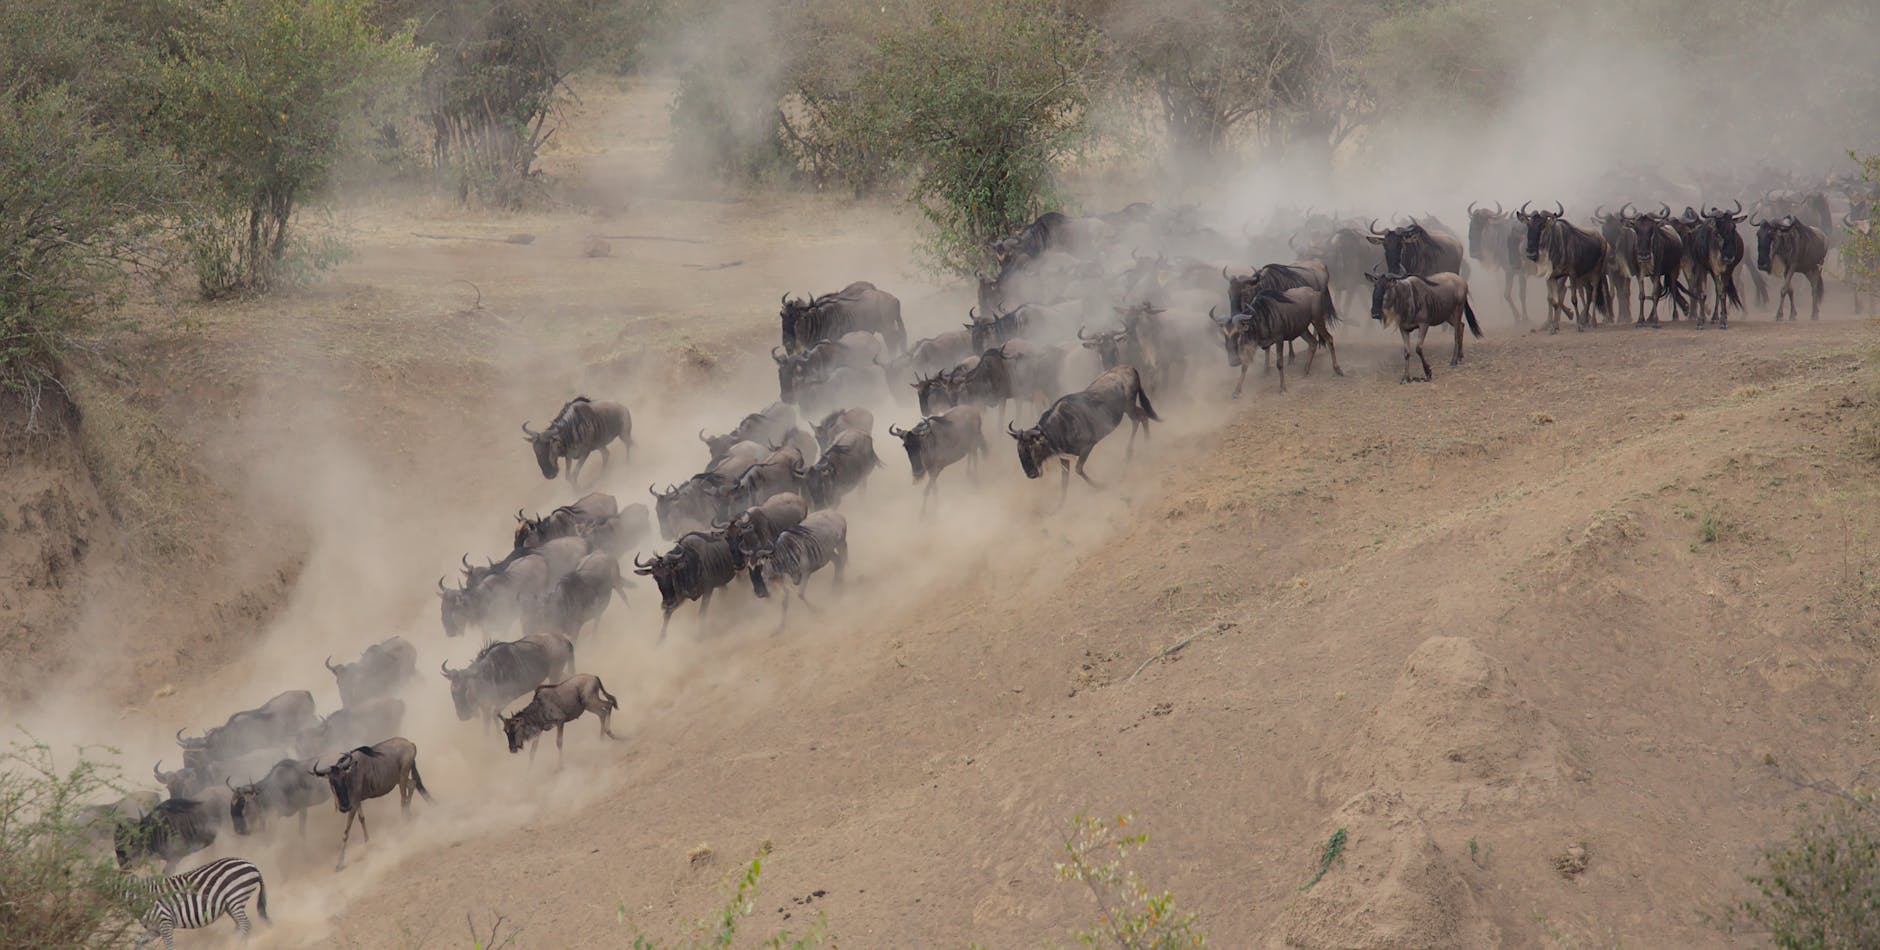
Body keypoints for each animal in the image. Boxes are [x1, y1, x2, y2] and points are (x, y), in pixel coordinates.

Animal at [126, 854, 268, 944]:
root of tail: (250, 864)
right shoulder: (154, 930)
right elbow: (137, 943)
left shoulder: (165, 923)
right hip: (230, 905)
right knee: (240, 926)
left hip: (235, 898)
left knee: (246, 925)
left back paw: (237, 945)